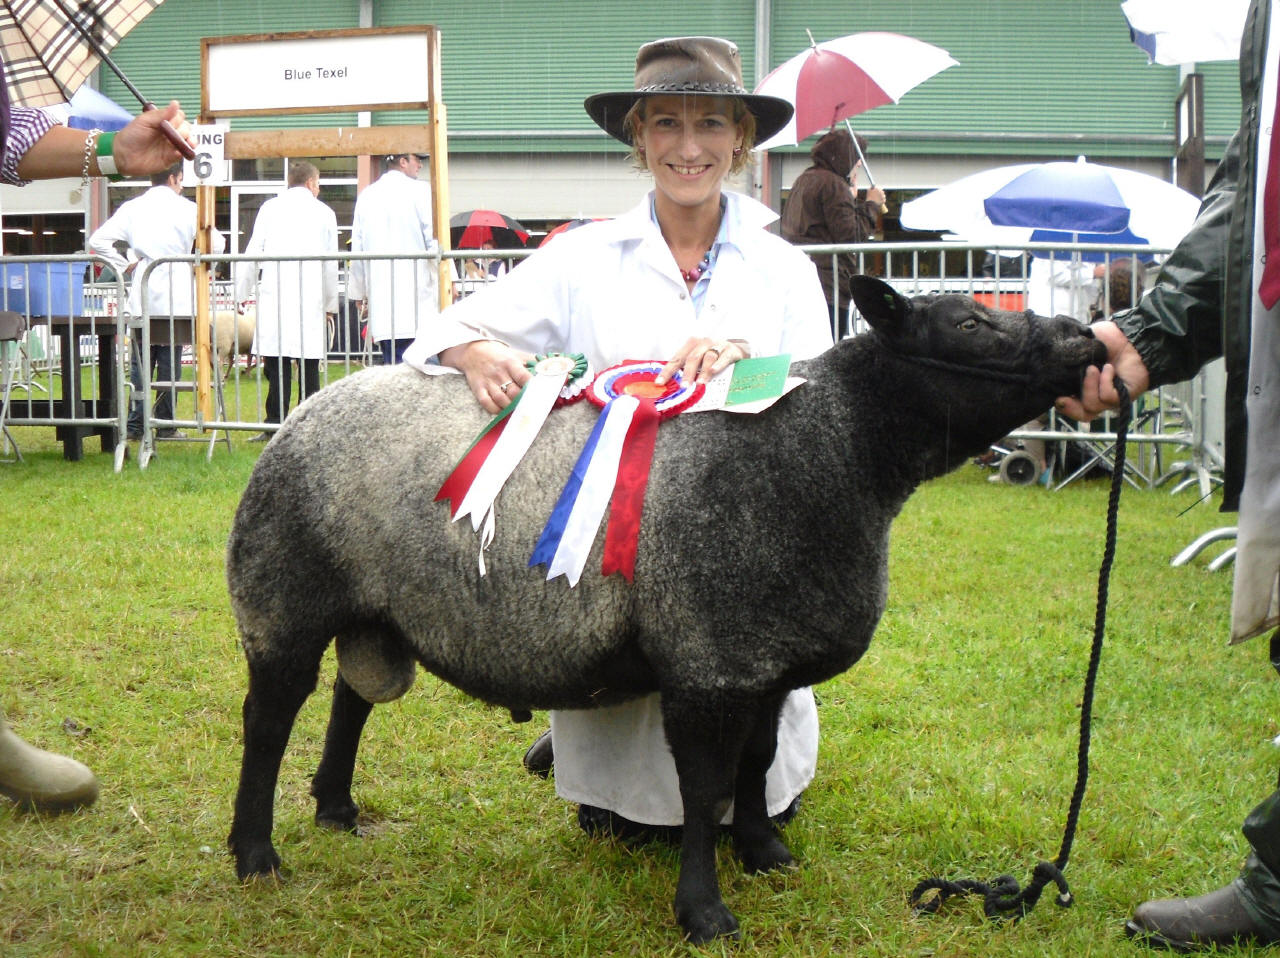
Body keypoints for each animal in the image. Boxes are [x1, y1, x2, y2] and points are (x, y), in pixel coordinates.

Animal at [225, 275, 1107, 943]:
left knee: (352, 699)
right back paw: (254, 854)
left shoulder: (762, 659)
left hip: (373, 607)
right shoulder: (708, 662)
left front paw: (766, 853)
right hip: (281, 596)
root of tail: (298, 414)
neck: (837, 452)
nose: (1087, 340)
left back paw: (336, 806)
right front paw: (705, 913)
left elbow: (755, 766)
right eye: (969, 322)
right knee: (268, 722)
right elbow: (702, 789)